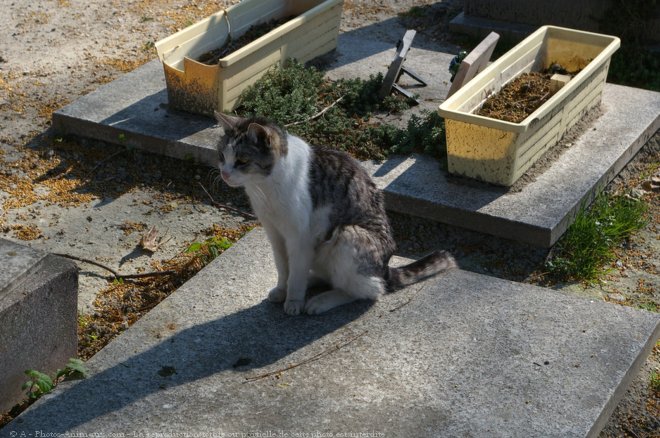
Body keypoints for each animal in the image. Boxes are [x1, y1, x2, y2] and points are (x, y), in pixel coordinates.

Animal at [214, 111, 456, 314]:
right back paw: (312, 281)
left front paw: (293, 301)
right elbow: (283, 268)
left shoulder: (299, 237)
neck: (264, 187)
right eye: (222, 156)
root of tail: (385, 269)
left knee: (369, 289)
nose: (224, 174)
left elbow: (295, 274)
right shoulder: (274, 233)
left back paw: (321, 301)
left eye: (242, 161)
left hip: (348, 235)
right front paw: (283, 290)